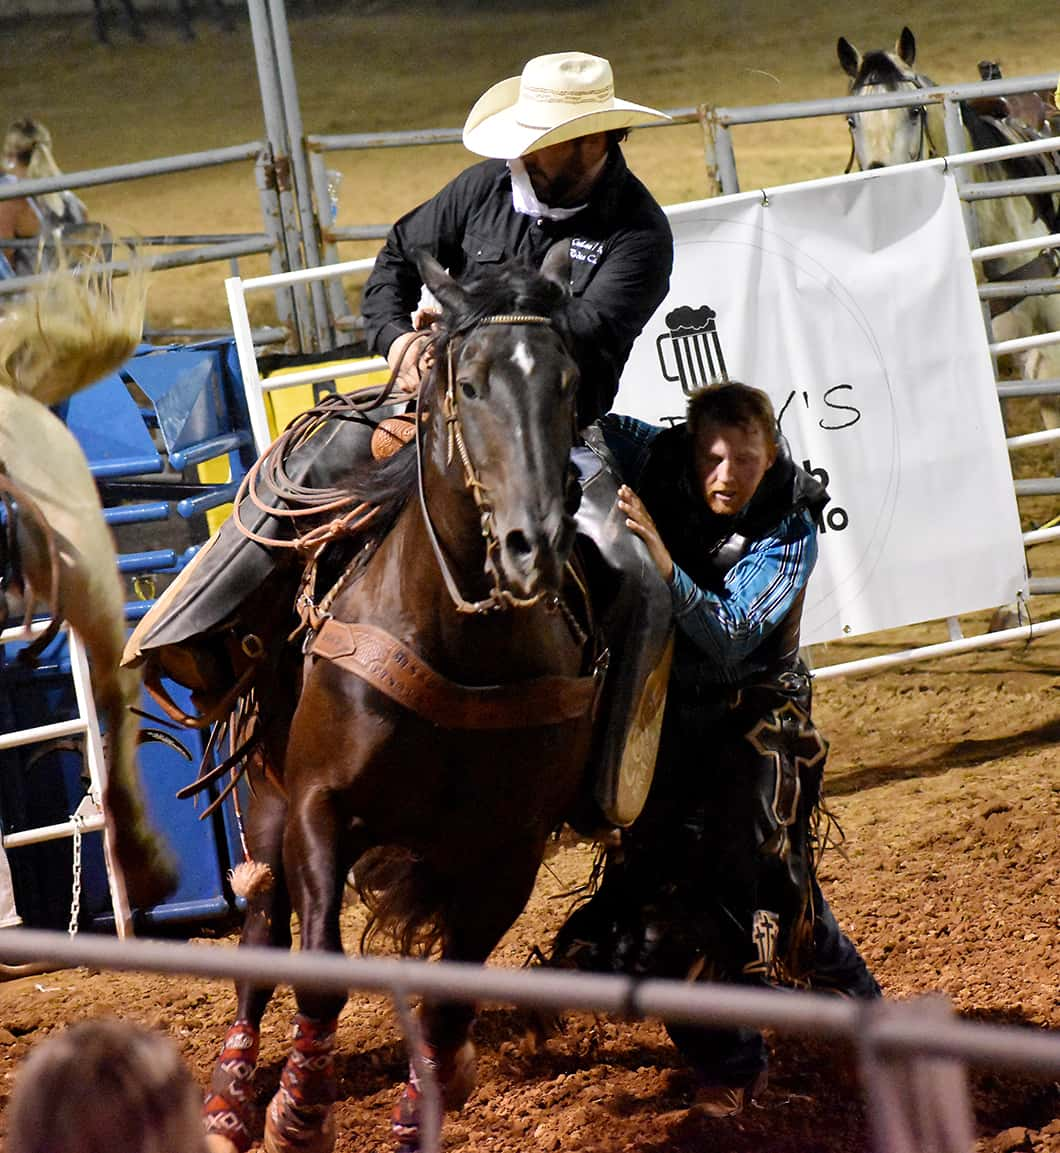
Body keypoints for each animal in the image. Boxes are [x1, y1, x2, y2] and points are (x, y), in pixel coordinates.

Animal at [196, 245, 599, 1153]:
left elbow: (448, 1002)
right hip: (266, 801)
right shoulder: (319, 804)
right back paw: (231, 1101)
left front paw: (422, 1113)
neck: (457, 647)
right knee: (263, 928)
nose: (532, 545)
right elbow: (316, 973)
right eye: (471, 383)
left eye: (568, 380)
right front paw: (298, 1114)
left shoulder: (508, 851)